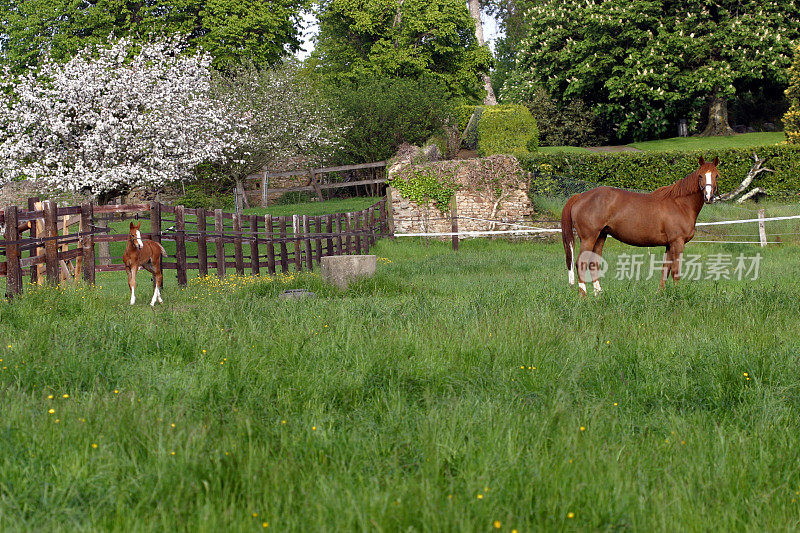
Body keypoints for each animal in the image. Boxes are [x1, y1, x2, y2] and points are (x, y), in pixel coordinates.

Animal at [560, 156, 720, 296]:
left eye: (716, 175)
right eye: (700, 176)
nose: (709, 197)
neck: (680, 204)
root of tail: (580, 196)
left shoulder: (669, 245)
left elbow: (665, 269)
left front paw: (661, 294)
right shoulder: (677, 242)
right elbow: (675, 271)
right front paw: (676, 294)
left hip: (600, 236)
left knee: (594, 263)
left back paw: (598, 294)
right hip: (589, 238)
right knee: (581, 263)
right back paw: (583, 295)